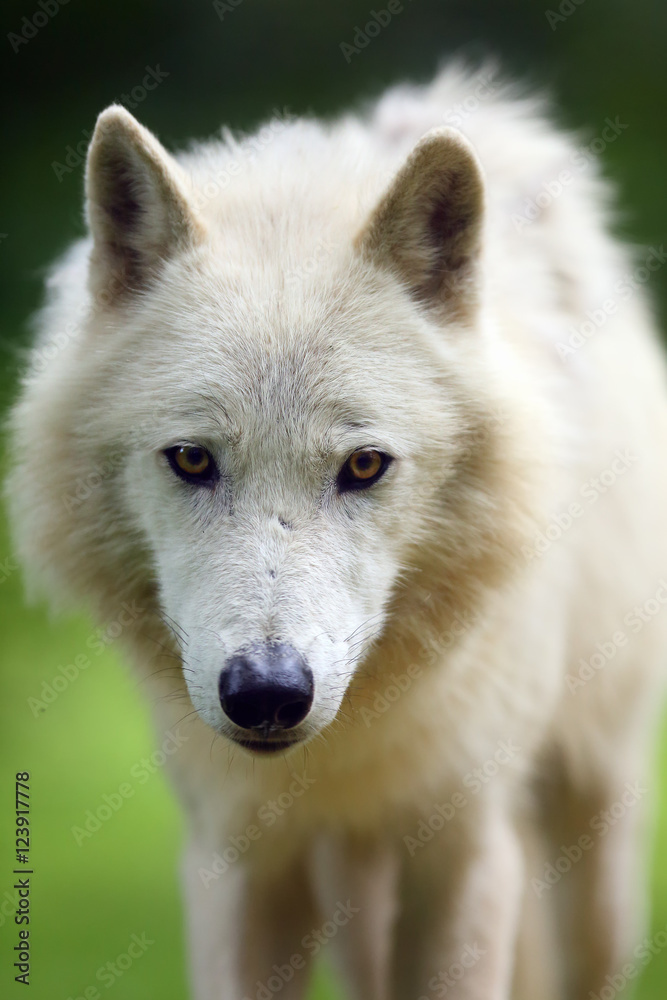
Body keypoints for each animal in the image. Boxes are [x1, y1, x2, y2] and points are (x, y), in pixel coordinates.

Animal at [7, 66, 667, 996]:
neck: (336, 762)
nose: (267, 693)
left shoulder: (467, 852)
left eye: (363, 466)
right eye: (191, 459)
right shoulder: (235, 862)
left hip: (593, 851)